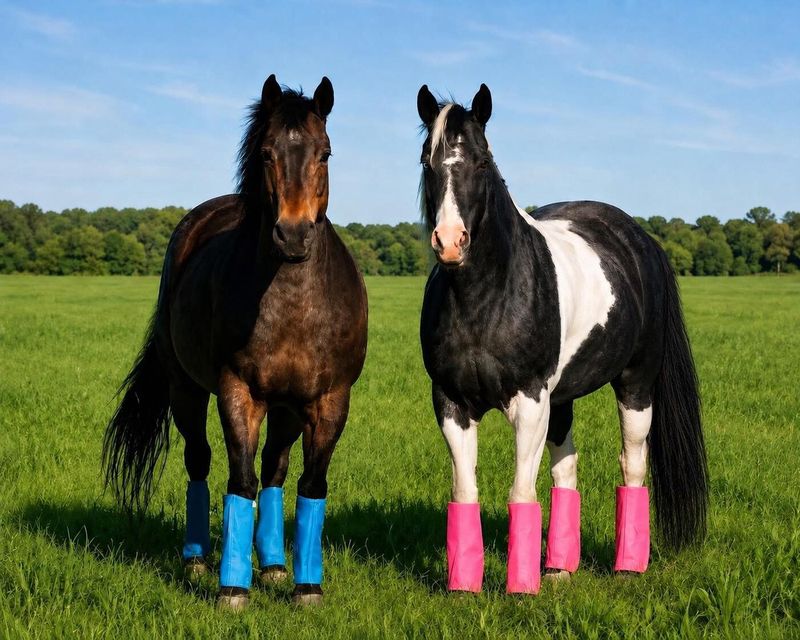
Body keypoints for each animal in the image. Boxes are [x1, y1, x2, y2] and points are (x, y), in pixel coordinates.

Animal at [103, 74, 368, 609]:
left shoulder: (329, 401)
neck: (293, 306)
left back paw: (274, 565)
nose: (292, 236)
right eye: (266, 152)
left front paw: (307, 586)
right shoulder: (237, 393)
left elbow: (309, 483)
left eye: (325, 153)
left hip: (287, 409)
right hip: (186, 390)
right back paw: (197, 560)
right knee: (200, 461)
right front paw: (232, 589)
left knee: (275, 470)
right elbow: (239, 480)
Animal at [416, 83, 708, 594]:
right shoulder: (451, 403)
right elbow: (465, 491)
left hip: (636, 385)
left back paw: (627, 567)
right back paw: (557, 569)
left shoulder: (531, 402)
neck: (485, 299)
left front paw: (519, 589)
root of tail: (641, 241)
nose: (450, 242)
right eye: (425, 161)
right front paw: (463, 589)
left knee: (632, 465)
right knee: (566, 470)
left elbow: (520, 492)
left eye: (482, 161)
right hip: (563, 398)